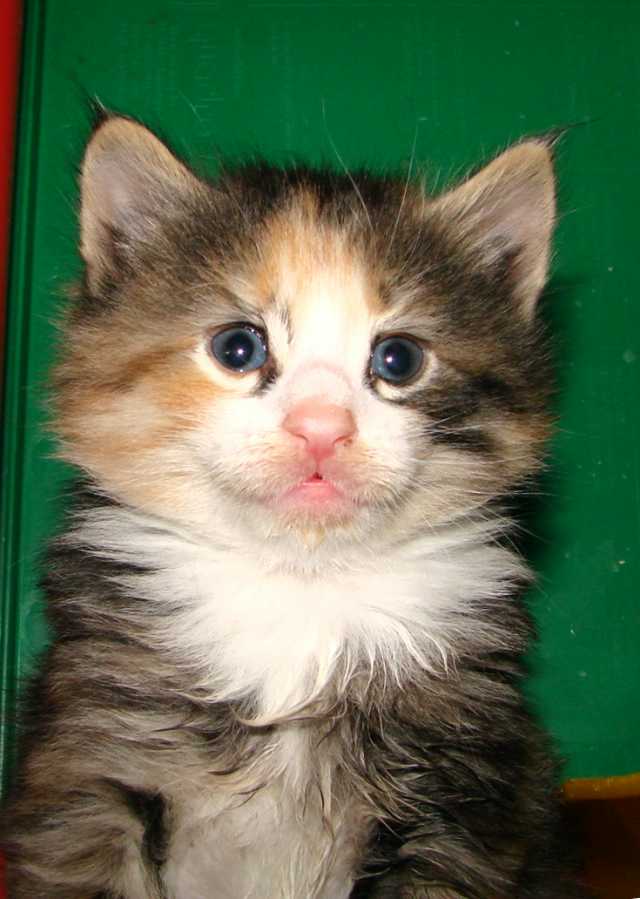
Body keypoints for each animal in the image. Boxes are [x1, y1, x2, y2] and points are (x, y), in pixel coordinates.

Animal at [0, 113, 588, 899]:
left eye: (399, 359)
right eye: (237, 347)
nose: (321, 427)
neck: (300, 588)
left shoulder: (458, 802)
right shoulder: (90, 767)